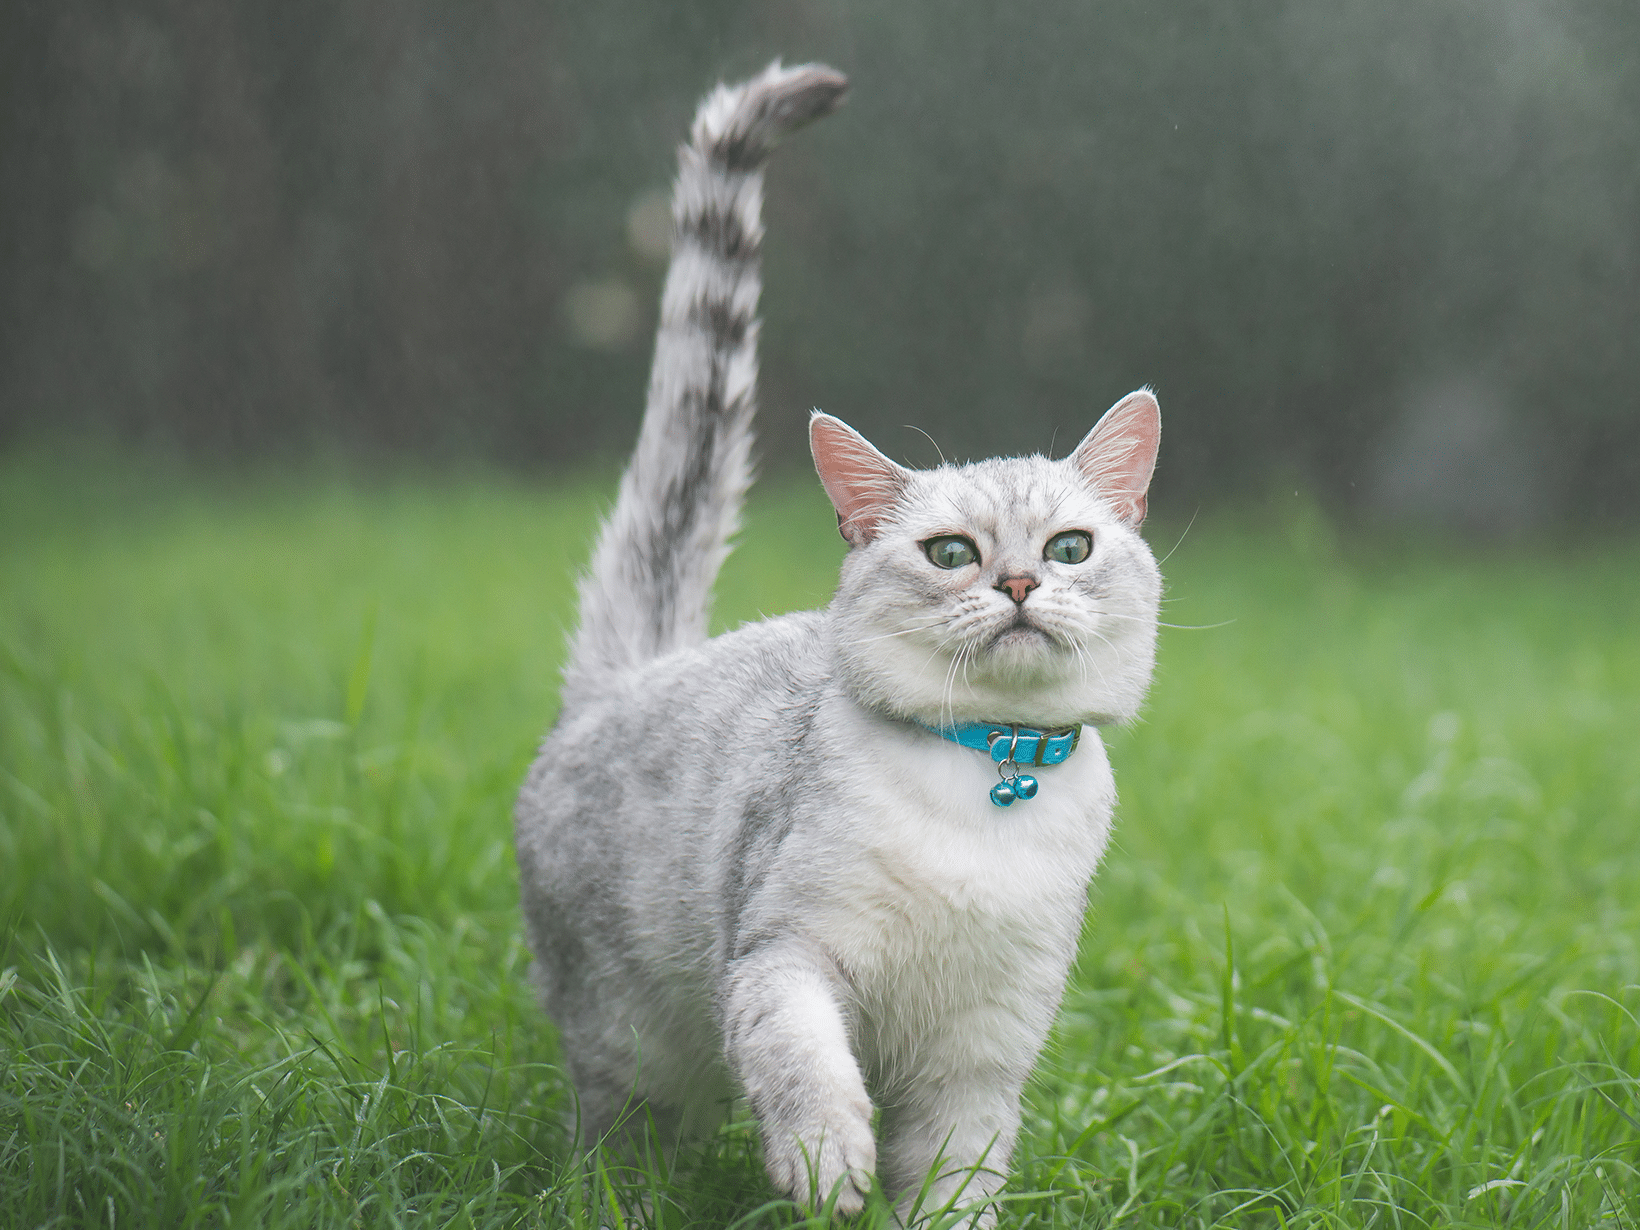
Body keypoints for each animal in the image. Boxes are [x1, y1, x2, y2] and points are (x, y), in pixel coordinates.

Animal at [514, 60, 1167, 1226]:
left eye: (1070, 546)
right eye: (950, 551)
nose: (1016, 583)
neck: (984, 788)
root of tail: (627, 676)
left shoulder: (981, 1058)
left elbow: (953, 1184)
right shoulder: (782, 953)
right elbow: (803, 1060)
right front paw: (825, 1162)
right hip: (631, 1043)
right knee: (617, 1137)